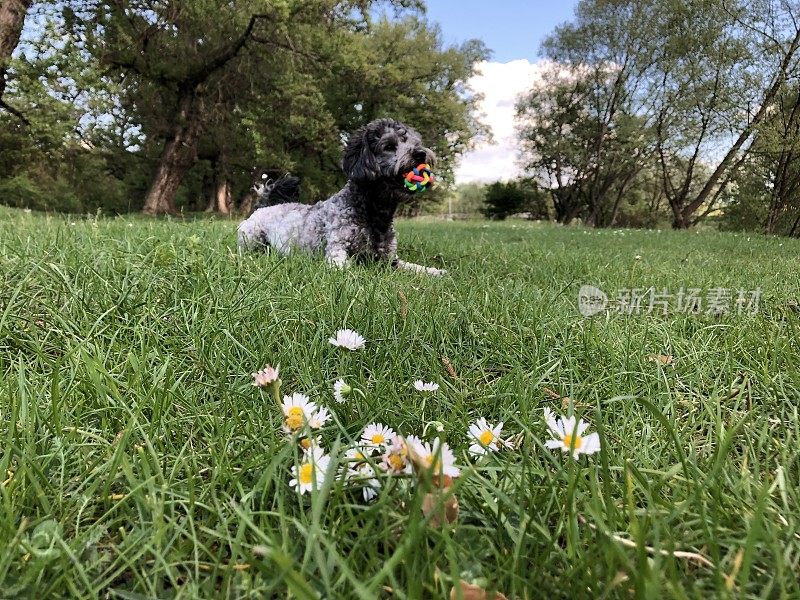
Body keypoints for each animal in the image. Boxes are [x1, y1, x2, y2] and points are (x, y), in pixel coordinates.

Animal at [238, 118, 450, 276]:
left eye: (415, 143)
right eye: (389, 146)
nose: (421, 153)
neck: (373, 214)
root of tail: (264, 206)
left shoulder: (389, 259)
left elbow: (413, 267)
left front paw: (435, 271)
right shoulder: (336, 251)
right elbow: (346, 268)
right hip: (251, 237)